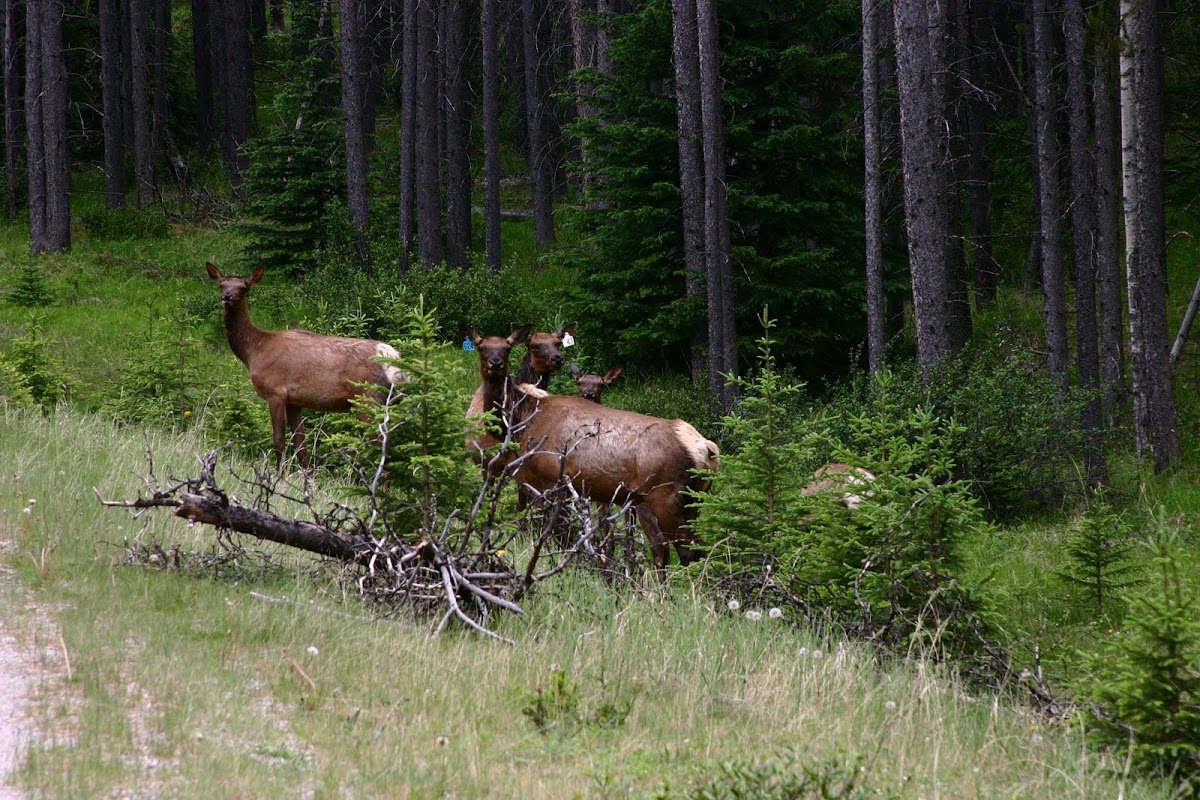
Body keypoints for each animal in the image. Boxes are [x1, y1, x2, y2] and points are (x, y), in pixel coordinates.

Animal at [207, 262, 404, 471]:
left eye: (244, 287)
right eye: (222, 284)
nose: (227, 296)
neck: (254, 351)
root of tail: (394, 361)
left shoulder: (275, 392)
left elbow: (279, 440)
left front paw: (279, 476)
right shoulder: (294, 401)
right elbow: (301, 446)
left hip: (368, 398)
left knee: (383, 447)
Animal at [466, 327, 719, 569]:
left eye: (508, 348)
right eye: (481, 347)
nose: (495, 364)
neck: (522, 421)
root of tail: (706, 449)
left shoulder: (550, 481)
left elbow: (559, 536)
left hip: (666, 497)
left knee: (685, 551)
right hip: (692, 500)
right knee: (689, 547)